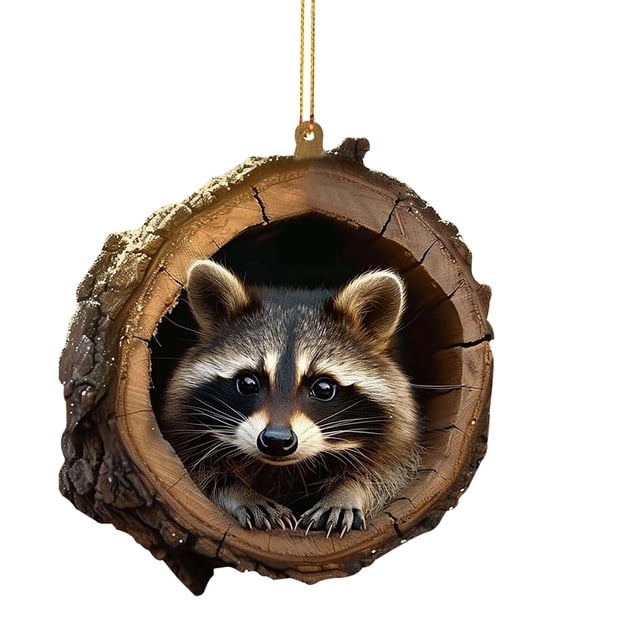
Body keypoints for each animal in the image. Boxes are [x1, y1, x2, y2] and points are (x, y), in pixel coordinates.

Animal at [160, 260, 421, 536]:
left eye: (324, 388)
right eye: (248, 383)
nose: (276, 440)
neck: (283, 468)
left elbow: (387, 473)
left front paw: (346, 493)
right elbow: (206, 475)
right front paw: (242, 493)